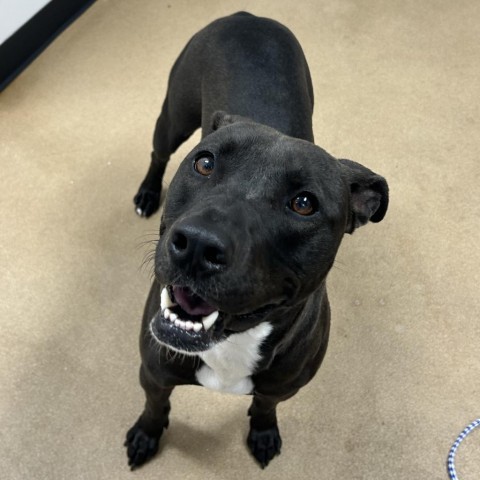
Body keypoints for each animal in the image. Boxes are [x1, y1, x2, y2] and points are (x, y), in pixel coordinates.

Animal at [125, 11, 388, 468]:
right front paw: (146, 434)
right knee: (159, 152)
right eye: (205, 163)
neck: (233, 342)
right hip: (173, 115)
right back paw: (147, 192)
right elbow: (155, 405)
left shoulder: (284, 387)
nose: (197, 245)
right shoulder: (153, 372)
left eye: (304, 203)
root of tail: (246, 15)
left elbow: (265, 405)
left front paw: (263, 432)